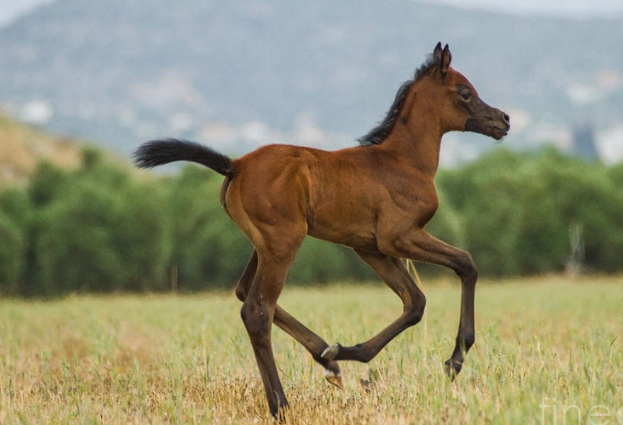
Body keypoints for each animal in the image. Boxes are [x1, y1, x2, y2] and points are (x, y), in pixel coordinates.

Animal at [134, 44, 510, 418]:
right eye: (465, 93)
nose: (503, 120)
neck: (403, 161)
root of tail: (235, 165)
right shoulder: (399, 236)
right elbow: (465, 263)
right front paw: (454, 361)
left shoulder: (369, 246)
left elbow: (414, 301)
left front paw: (346, 352)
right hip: (284, 241)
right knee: (257, 311)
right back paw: (281, 405)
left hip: (263, 245)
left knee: (244, 293)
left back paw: (327, 358)